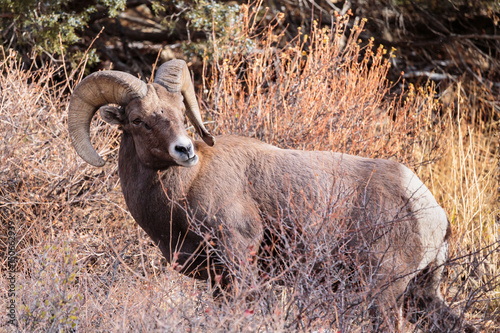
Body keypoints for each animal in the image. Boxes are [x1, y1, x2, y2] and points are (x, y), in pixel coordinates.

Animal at [68, 59, 474, 330]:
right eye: (139, 120)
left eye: (181, 114)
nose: (184, 150)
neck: (183, 193)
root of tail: (431, 211)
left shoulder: (238, 264)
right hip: (420, 296)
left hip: (383, 293)